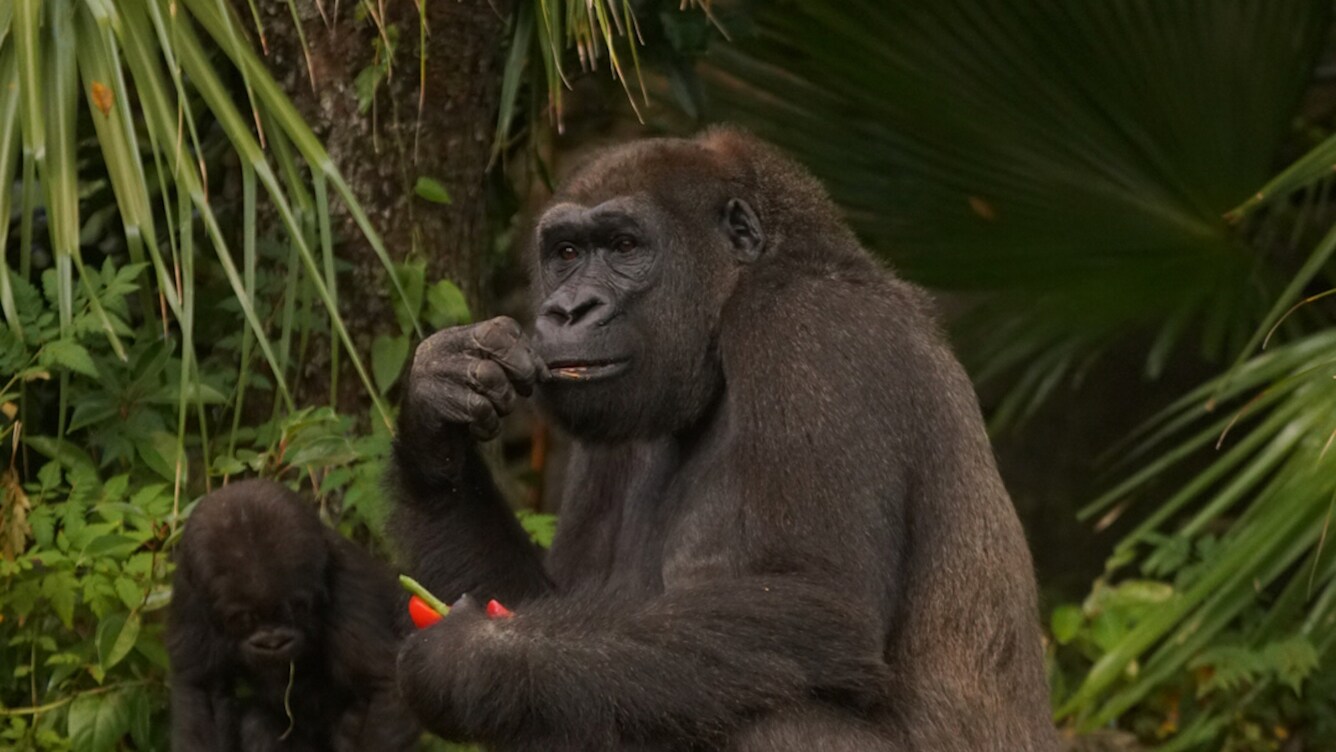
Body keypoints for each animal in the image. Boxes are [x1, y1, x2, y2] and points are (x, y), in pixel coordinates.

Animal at [168, 483, 416, 752]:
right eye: (243, 619)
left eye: (294, 609)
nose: (272, 643)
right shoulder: (190, 594)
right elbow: (202, 689)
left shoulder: (349, 585)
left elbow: (386, 683)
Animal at [390, 126, 1058, 747]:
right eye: (567, 252)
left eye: (625, 246)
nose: (568, 310)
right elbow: (542, 607)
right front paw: (437, 412)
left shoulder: (810, 329)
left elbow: (815, 601)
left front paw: (475, 656)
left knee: (771, 714)